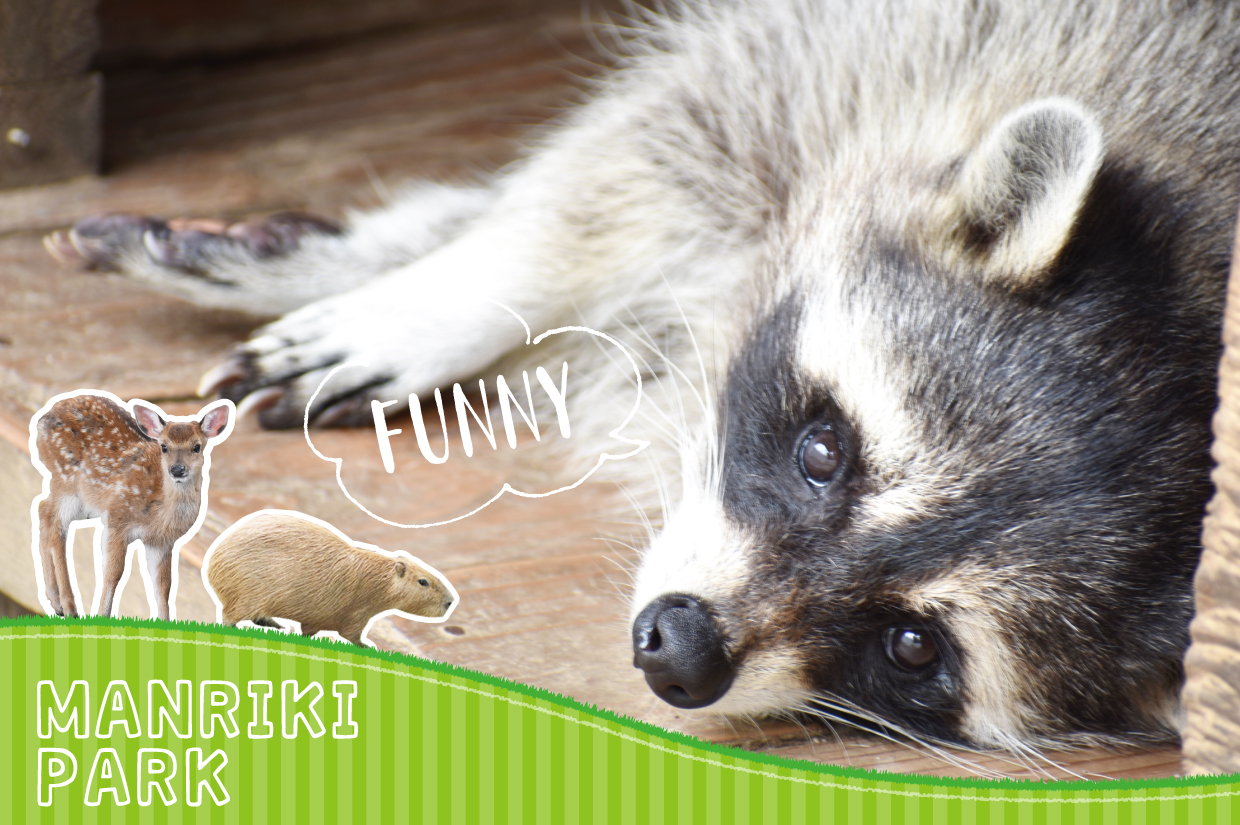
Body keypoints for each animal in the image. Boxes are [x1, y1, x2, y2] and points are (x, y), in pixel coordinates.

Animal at [45, 0, 1240, 749]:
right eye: (824, 450)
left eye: (913, 647)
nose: (677, 649)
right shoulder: (950, 41)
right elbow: (646, 147)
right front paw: (457, 280)